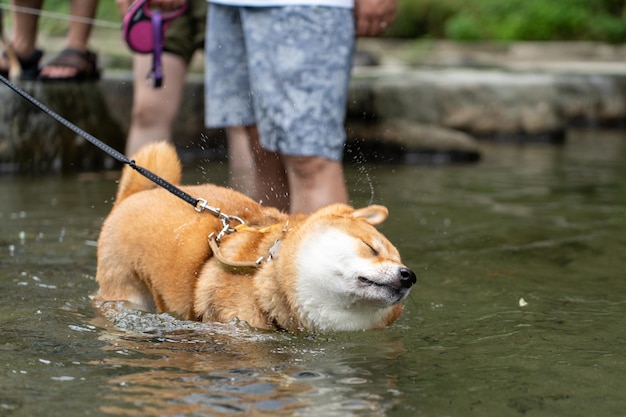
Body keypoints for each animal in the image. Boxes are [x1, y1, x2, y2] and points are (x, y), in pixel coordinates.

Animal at [96, 142, 414, 332]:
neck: (265, 271)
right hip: (126, 288)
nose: (409, 275)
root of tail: (133, 195)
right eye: (371, 248)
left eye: (401, 260)